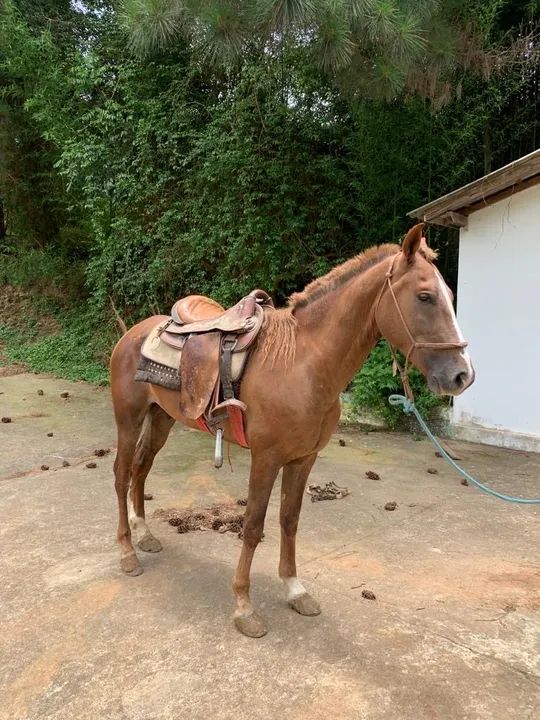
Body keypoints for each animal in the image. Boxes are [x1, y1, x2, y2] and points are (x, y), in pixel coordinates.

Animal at [110, 223, 474, 638]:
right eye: (425, 296)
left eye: (449, 295)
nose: (462, 375)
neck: (303, 363)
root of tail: (133, 332)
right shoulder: (266, 459)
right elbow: (253, 525)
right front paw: (244, 607)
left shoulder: (303, 459)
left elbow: (290, 520)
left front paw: (295, 590)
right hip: (128, 419)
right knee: (122, 475)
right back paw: (128, 553)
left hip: (161, 419)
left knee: (141, 469)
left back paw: (145, 535)